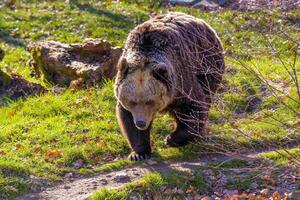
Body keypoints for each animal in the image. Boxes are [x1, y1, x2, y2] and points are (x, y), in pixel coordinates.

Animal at [115, 11, 225, 160]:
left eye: (150, 101)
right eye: (132, 102)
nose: (141, 123)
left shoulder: (181, 80)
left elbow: (194, 107)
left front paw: (170, 139)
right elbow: (127, 119)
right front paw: (139, 153)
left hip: (207, 63)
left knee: (205, 96)